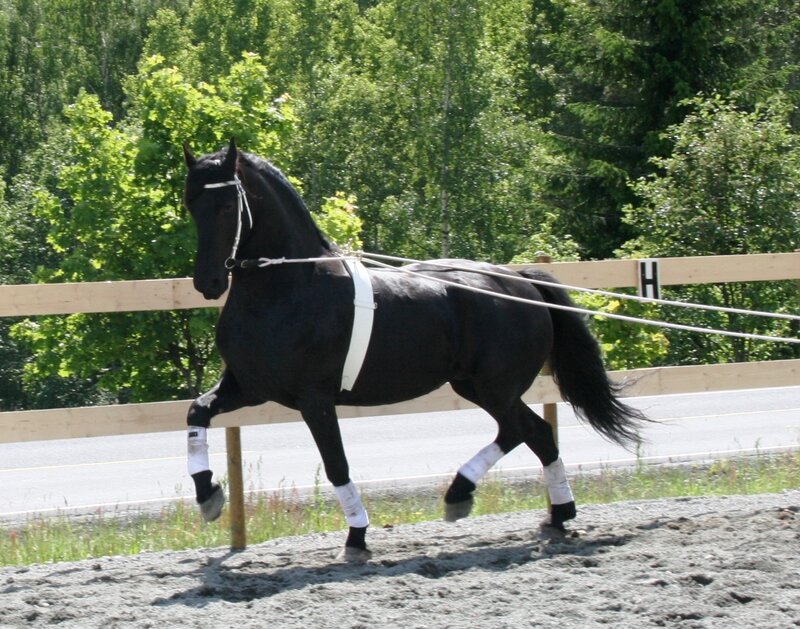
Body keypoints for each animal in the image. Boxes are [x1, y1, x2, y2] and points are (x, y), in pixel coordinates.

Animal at [181, 138, 647, 561]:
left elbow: (336, 465)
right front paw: (209, 495)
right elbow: (197, 412)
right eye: (191, 205)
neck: (288, 286)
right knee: (538, 434)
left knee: (521, 431)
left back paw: (462, 495)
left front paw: (357, 538)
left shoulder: (315, 400)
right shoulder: (248, 388)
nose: (208, 283)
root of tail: (520, 281)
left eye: (227, 206)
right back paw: (557, 516)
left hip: (495, 387)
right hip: (474, 386)